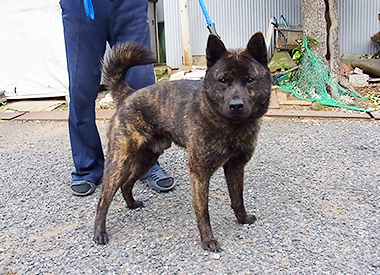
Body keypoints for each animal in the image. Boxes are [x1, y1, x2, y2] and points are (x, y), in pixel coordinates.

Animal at [93, 32, 272, 252]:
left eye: (250, 80)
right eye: (223, 80)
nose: (236, 105)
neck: (231, 127)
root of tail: (129, 94)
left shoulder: (236, 167)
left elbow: (237, 198)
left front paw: (242, 219)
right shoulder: (200, 172)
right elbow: (203, 210)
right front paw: (207, 239)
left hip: (147, 158)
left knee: (126, 184)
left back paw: (132, 204)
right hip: (119, 161)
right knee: (104, 199)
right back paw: (99, 232)